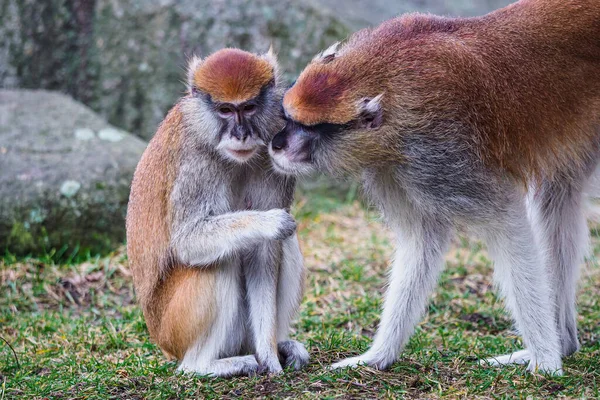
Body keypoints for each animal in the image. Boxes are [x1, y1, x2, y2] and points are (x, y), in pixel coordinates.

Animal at [124, 48, 308, 376]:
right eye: (225, 110)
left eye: (248, 107)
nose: (241, 134)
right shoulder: (196, 166)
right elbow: (189, 241)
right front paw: (269, 222)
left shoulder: (272, 154)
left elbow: (264, 253)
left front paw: (270, 355)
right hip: (174, 327)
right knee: (220, 260)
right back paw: (203, 366)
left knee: (284, 245)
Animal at [270, 0, 600, 376]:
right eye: (289, 118)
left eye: (310, 128)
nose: (277, 143)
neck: (391, 84)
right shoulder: (392, 168)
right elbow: (422, 238)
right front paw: (377, 356)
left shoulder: (440, 154)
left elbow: (507, 223)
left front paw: (546, 364)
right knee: (557, 196)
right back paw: (565, 342)